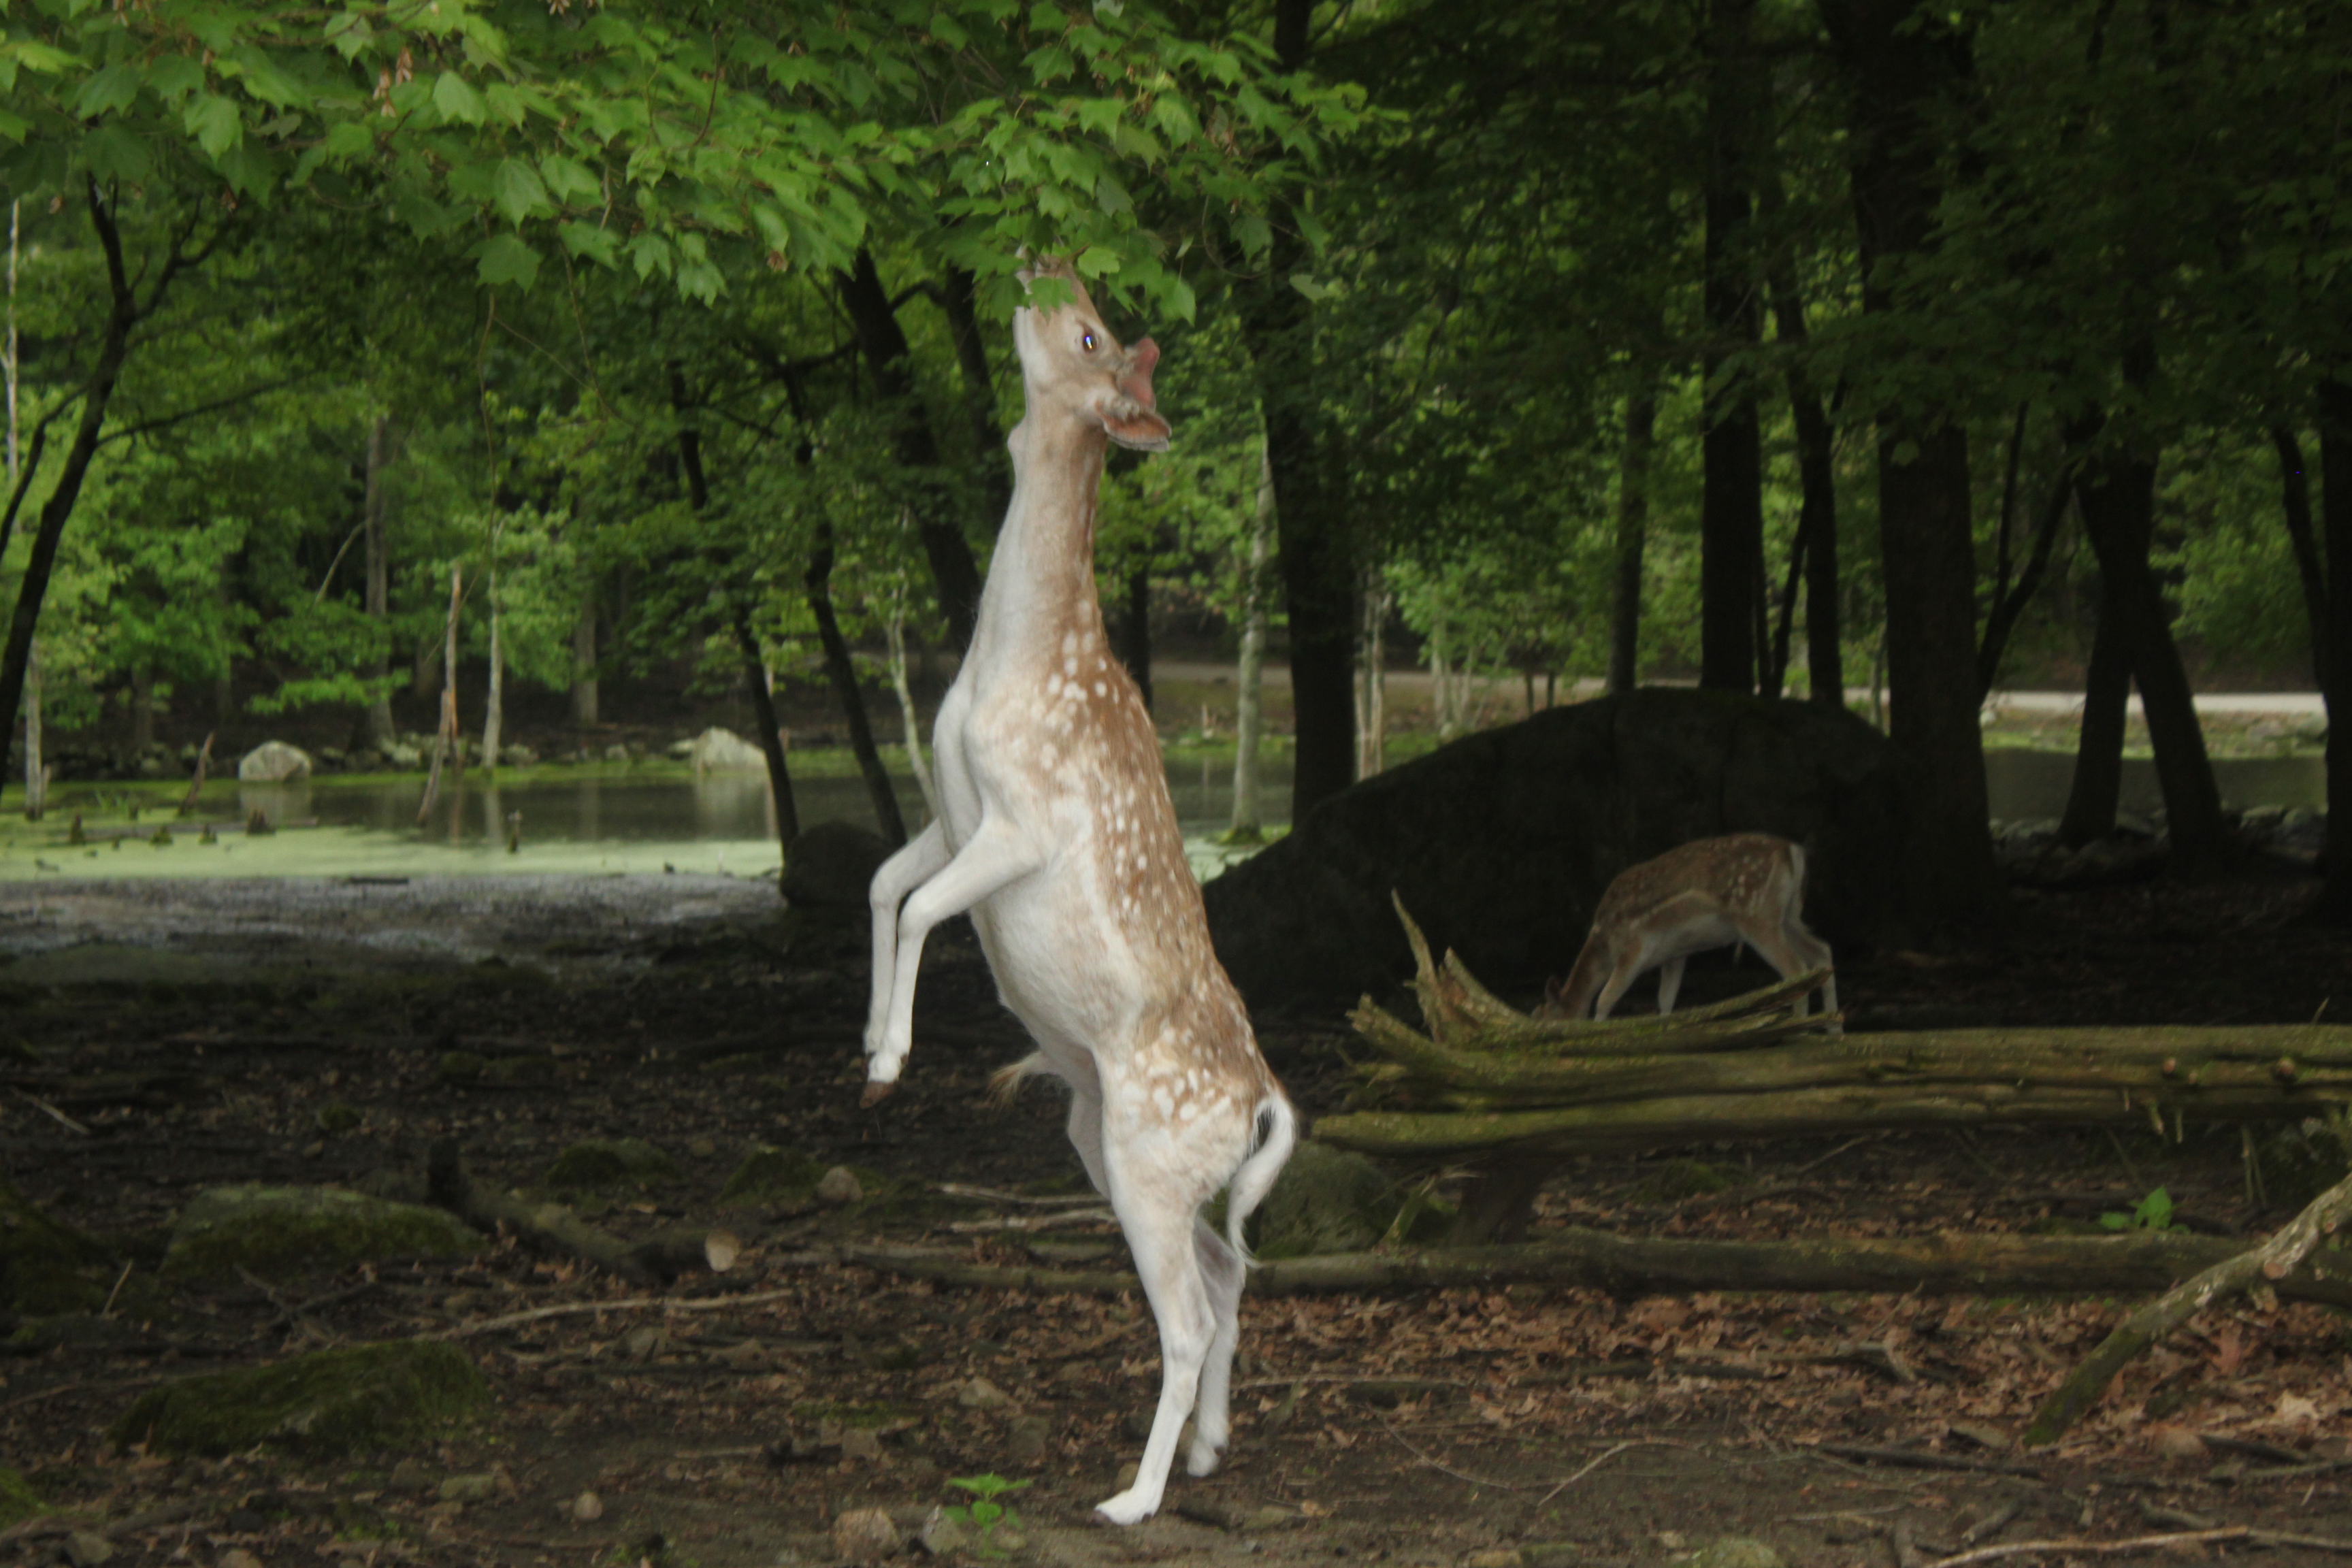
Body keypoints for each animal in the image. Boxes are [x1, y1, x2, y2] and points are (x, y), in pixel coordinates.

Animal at [860, 263, 1307, 1523]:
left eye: (1094, 332)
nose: (1038, 262)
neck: (1004, 663)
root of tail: (1262, 1099)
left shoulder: (1023, 819)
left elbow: (923, 907)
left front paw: (890, 1055)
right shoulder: (948, 807)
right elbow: (881, 884)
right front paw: (867, 1046)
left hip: (1150, 1159)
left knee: (1192, 1310)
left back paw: (1133, 1495)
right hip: (1108, 1141)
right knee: (1229, 1267)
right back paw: (1207, 1450)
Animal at [1533, 832, 1844, 1029]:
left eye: (1543, 1018)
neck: (1603, 944)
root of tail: (1793, 852)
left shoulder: (1633, 947)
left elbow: (1605, 998)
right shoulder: (1674, 954)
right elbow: (1665, 1001)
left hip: (1756, 916)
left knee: (1796, 968)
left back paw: (1801, 1028)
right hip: (1789, 916)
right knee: (1822, 951)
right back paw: (1833, 1030)